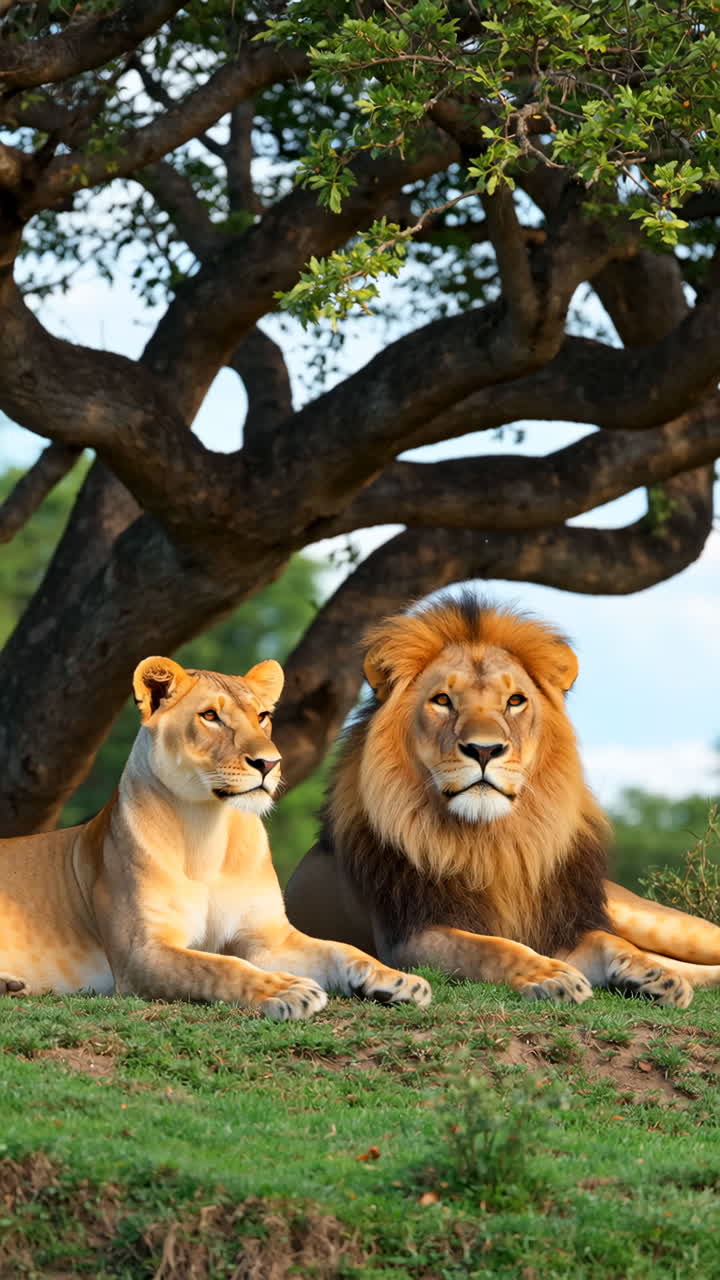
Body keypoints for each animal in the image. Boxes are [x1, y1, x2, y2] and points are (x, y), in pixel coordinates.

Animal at [0, 655, 430, 1019]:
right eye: (210, 716)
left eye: (262, 716)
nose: (270, 763)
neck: (206, 831)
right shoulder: (142, 952)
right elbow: (219, 966)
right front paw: (287, 991)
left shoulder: (267, 937)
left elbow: (342, 950)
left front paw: (400, 981)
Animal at [285, 593, 720, 1008]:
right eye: (442, 700)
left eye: (514, 700)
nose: (484, 749)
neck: (493, 844)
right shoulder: (409, 937)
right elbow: (492, 947)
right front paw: (552, 975)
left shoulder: (564, 926)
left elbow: (612, 942)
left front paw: (651, 974)